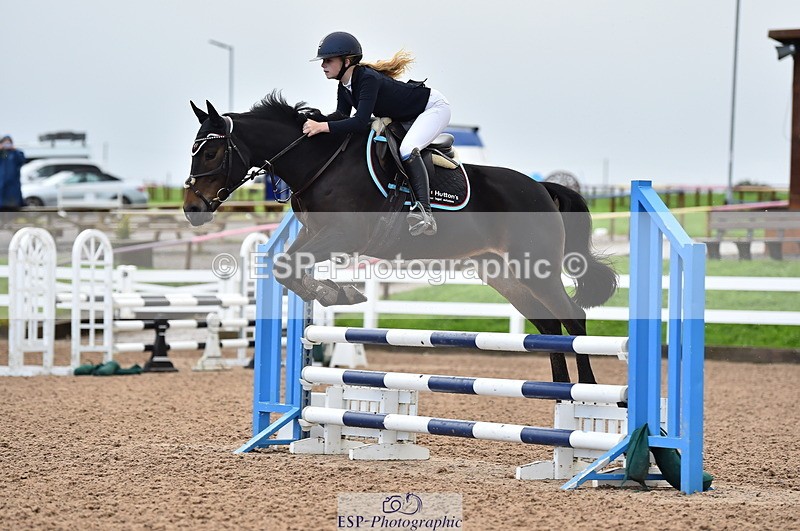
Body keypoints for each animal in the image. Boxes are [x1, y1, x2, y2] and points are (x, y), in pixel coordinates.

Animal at [184, 93, 617, 384]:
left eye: (211, 154)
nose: (192, 208)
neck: (321, 162)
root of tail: (542, 188)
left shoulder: (343, 234)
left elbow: (286, 265)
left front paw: (334, 293)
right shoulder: (315, 233)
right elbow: (285, 265)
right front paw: (332, 292)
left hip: (535, 269)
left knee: (572, 318)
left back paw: (587, 394)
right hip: (506, 275)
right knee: (549, 325)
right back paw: (560, 394)